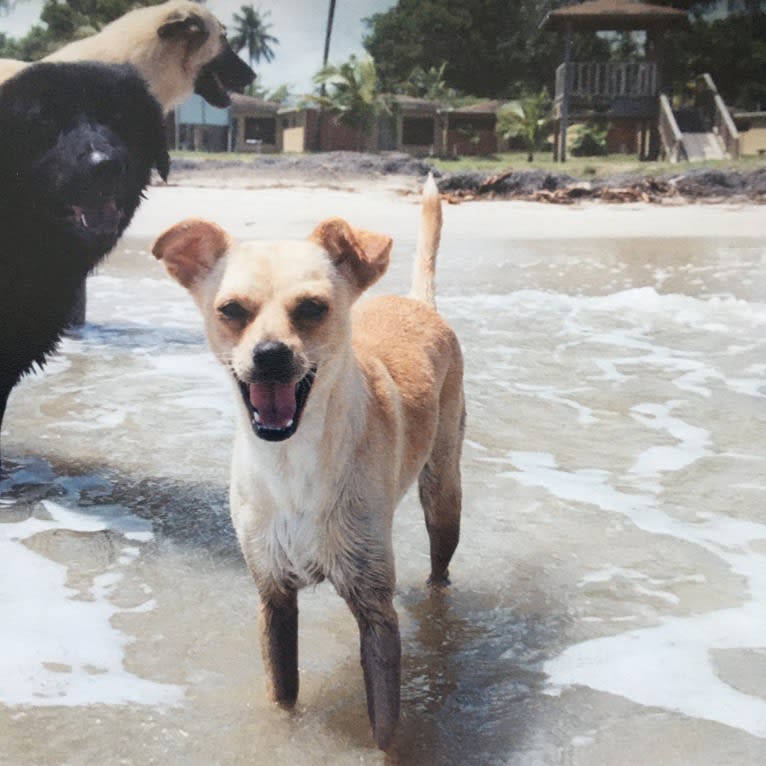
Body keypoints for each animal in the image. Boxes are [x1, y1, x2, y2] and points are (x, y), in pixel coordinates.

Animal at [149, 177, 462, 752]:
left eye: (313, 308)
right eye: (231, 309)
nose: (271, 354)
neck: (291, 462)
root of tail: (415, 301)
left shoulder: (374, 609)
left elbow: (385, 727)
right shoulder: (274, 598)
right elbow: (283, 695)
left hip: (443, 490)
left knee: (440, 563)